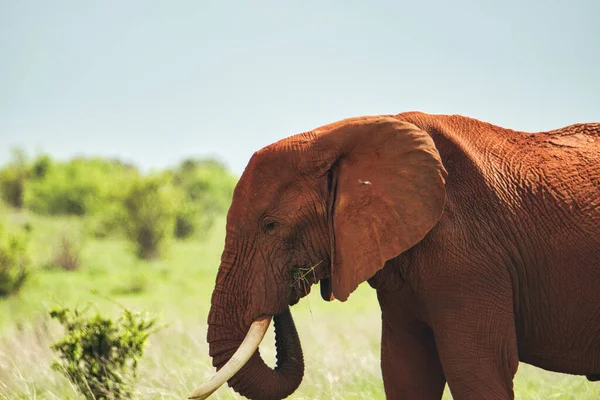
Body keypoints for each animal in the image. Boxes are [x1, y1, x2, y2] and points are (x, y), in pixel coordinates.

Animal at [189, 111, 600, 398]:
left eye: (270, 226)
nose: (295, 283)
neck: (343, 136)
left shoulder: (471, 257)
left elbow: (478, 369)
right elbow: (406, 370)